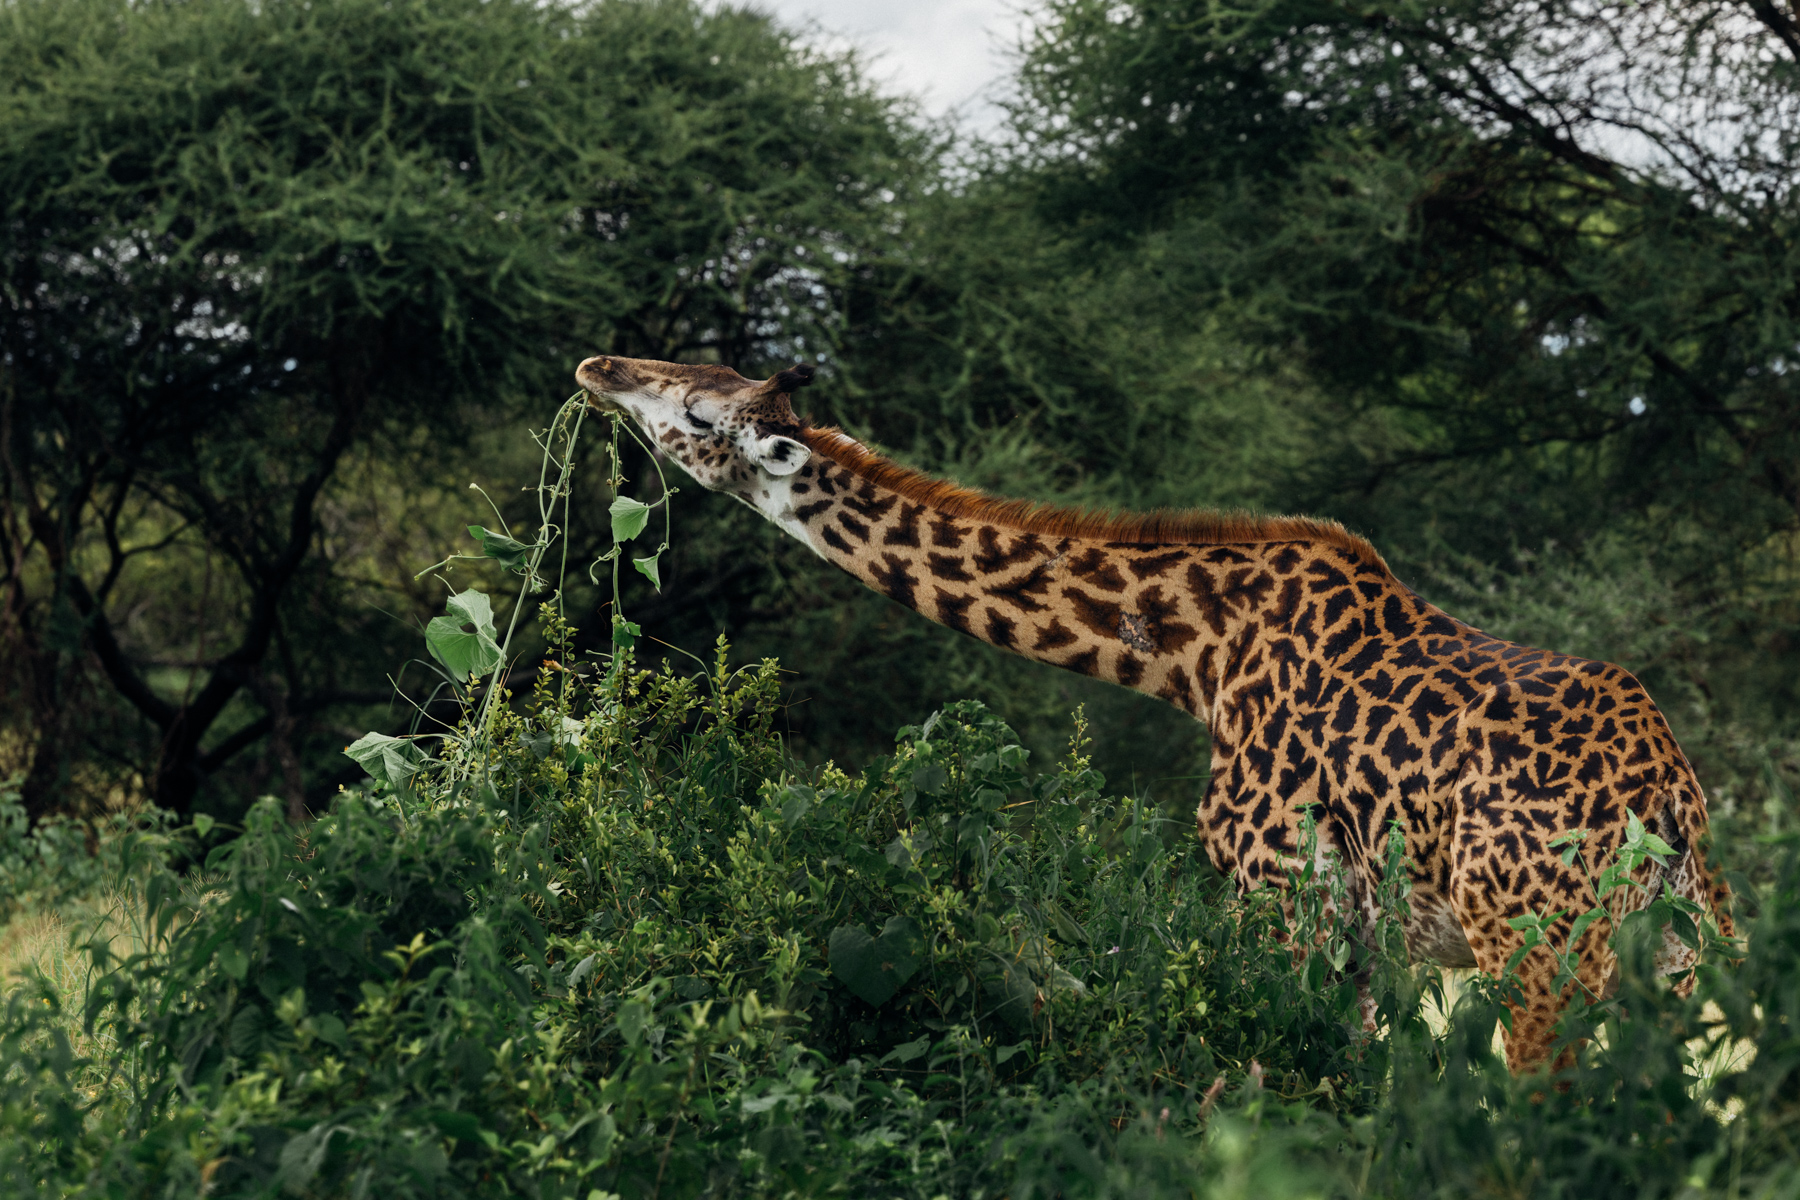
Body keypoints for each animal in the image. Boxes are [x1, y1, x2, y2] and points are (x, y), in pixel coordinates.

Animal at [575, 353, 1733, 1072]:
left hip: (1540, 954)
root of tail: (1668, 808)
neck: (1195, 653)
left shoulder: (1281, 889)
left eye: (698, 417)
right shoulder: (1357, 930)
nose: (599, 369)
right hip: (1668, 971)